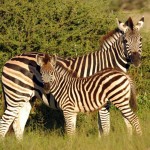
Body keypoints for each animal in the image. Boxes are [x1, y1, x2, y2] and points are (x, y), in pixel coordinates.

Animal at [0, 16, 144, 139]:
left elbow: (103, 124)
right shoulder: (104, 100)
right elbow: (105, 124)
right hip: (15, 96)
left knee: (17, 124)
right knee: (5, 121)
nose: (136, 60)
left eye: (141, 40)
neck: (108, 63)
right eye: (125, 41)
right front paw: (106, 141)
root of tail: (9, 60)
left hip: (26, 98)